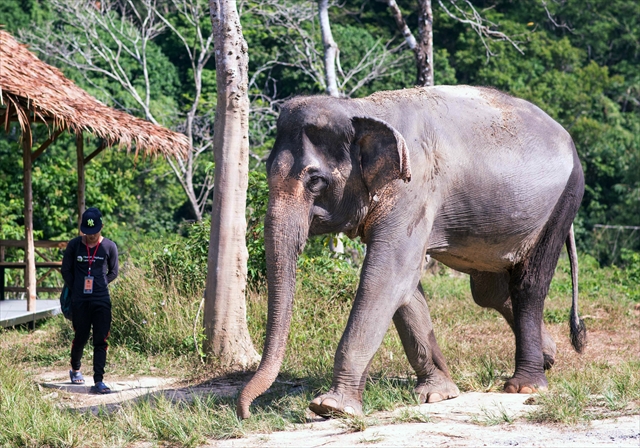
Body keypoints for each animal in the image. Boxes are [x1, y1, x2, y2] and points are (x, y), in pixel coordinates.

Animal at [236, 85, 584, 420]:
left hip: (562, 202)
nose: (246, 412)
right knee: (489, 290)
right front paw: (437, 394)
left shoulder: (413, 189)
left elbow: (388, 276)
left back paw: (525, 385)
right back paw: (549, 356)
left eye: (315, 181)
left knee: (527, 286)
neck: (361, 108)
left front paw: (331, 407)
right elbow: (404, 286)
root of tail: (568, 138)